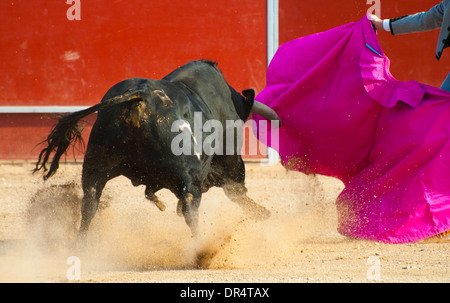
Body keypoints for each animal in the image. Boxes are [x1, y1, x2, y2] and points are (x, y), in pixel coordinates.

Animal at [33, 60, 278, 241]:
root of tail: (141, 97)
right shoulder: (229, 157)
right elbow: (236, 190)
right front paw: (263, 213)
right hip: (188, 173)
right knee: (191, 206)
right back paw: (201, 249)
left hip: (96, 166)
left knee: (89, 204)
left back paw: (81, 247)